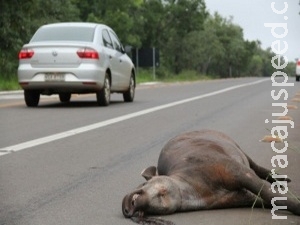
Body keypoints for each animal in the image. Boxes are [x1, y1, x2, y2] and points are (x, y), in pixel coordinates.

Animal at [122, 129, 300, 222]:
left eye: (142, 184)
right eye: (142, 213)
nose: (127, 207)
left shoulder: (231, 168)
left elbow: (266, 191)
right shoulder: (234, 198)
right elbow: (264, 199)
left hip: (232, 143)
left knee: (254, 165)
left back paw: (283, 179)